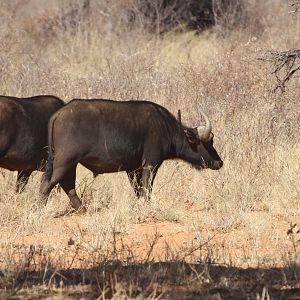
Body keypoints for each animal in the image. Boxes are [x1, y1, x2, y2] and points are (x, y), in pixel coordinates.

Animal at [39, 99, 223, 211]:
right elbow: (147, 187)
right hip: (65, 161)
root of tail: (59, 113)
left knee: (66, 184)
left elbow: (137, 189)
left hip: (69, 163)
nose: (219, 163)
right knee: (49, 184)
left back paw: (82, 209)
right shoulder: (151, 164)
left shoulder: (132, 169)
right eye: (208, 142)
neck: (167, 128)